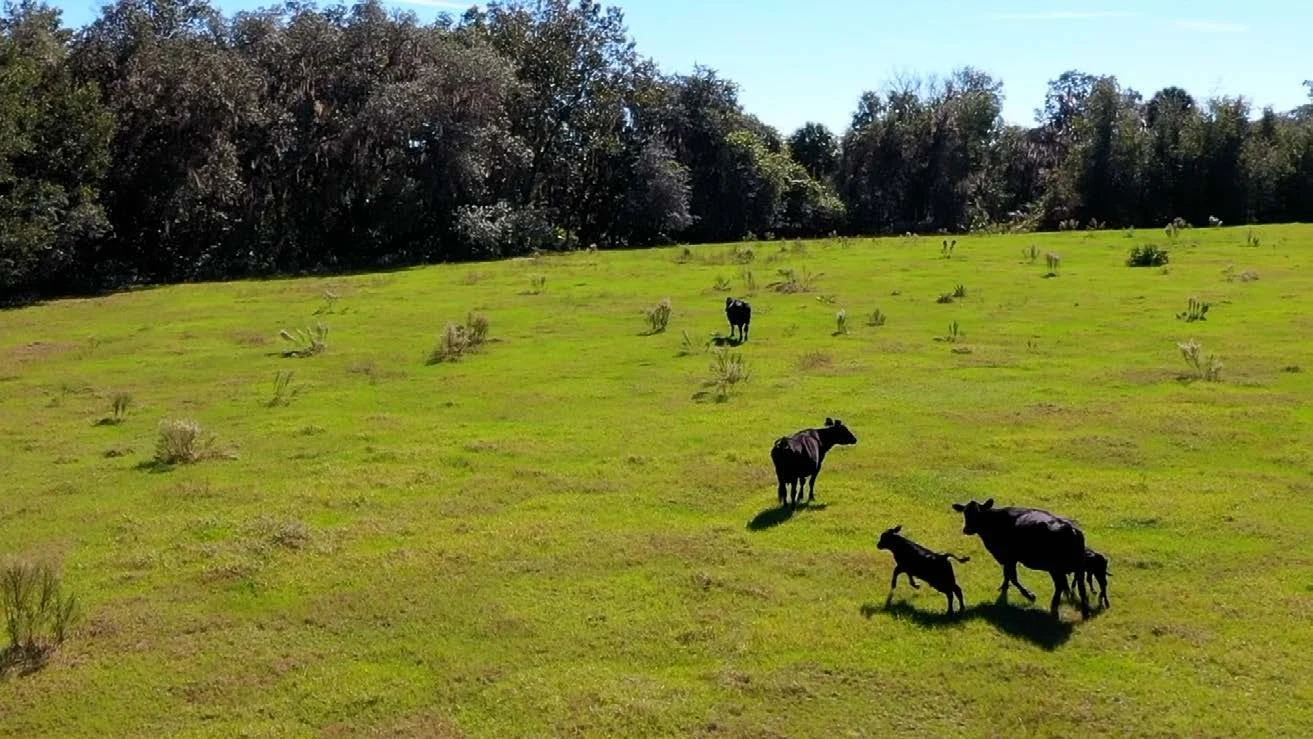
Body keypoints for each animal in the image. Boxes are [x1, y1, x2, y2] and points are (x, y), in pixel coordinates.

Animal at [950, 498, 1092, 619]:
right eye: (965, 513)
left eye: (979, 513)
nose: (967, 529)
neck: (995, 521)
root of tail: (1071, 528)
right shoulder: (1008, 559)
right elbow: (1007, 575)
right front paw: (1003, 588)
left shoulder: (1009, 558)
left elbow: (1012, 577)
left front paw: (1029, 595)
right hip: (1078, 567)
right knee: (1081, 587)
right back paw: (1085, 612)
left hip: (1056, 569)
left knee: (1060, 586)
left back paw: (1054, 609)